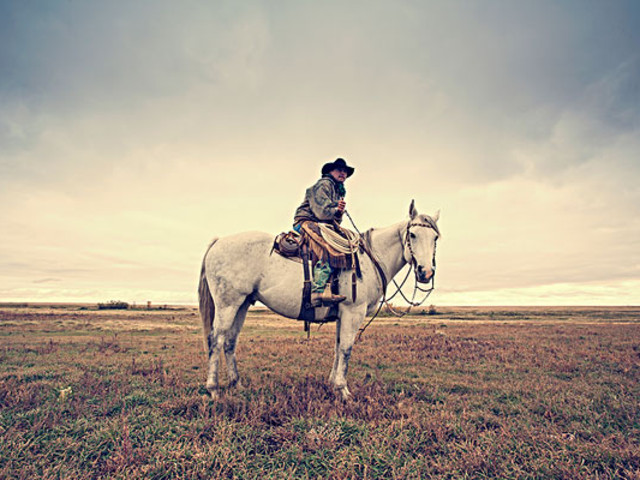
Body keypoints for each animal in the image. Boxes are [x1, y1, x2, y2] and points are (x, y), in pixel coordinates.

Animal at [200, 201, 440, 400]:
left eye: (435, 238)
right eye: (413, 235)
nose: (425, 272)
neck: (371, 259)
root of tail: (218, 242)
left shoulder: (343, 314)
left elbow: (338, 347)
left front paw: (333, 384)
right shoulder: (353, 312)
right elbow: (346, 348)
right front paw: (343, 391)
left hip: (242, 304)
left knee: (230, 341)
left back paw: (237, 384)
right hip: (228, 304)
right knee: (216, 339)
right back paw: (213, 389)